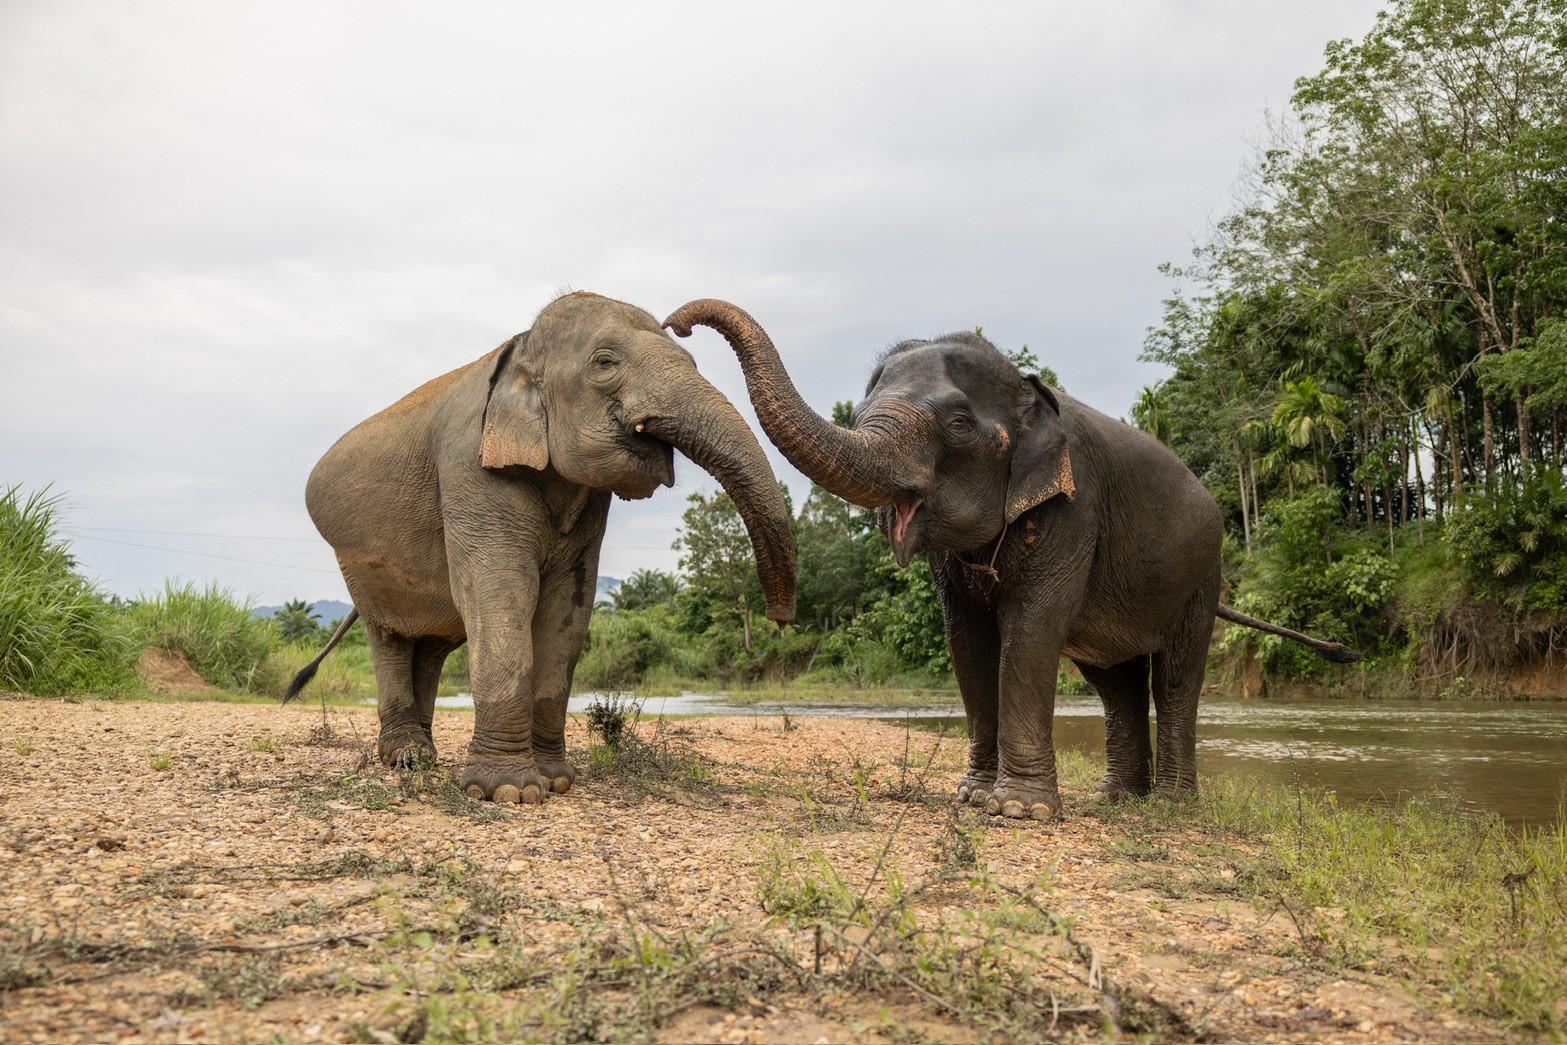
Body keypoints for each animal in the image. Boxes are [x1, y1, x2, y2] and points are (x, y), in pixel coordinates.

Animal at [284, 291, 796, 804]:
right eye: (605, 362)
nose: (779, 619)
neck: (520, 348)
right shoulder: (469, 466)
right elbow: (502, 592)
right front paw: (508, 791)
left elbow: (568, 606)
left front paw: (556, 781)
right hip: (356, 563)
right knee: (389, 637)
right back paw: (407, 759)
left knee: (431, 647)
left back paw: (424, 754)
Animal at [663, 299, 1358, 820]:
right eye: (859, 414)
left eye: (959, 424)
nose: (677, 323)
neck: (1028, 394)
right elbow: (967, 640)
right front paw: (973, 798)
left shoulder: (1074, 508)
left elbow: (1031, 629)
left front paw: (1019, 810)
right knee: (1114, 683)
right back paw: (1115, 800)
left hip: (1200, 575)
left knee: (1176, 679)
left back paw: (1170, 806)